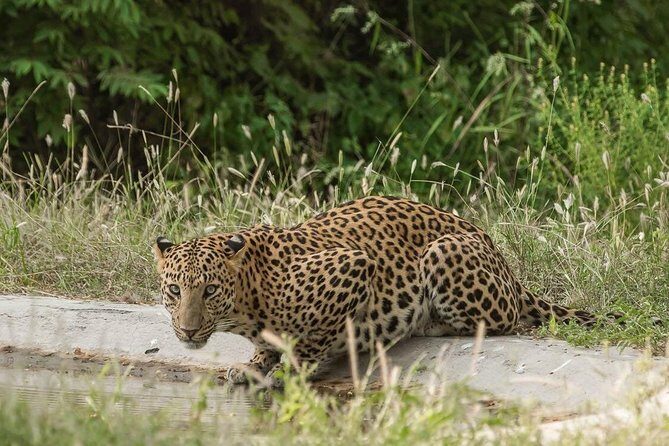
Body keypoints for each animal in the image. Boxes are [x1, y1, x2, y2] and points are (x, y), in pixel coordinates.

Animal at [154, 196, 597, 386]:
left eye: (210, 290)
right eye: (174, 290)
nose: (187, 331)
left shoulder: (353, 265)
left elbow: (314, 340)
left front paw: (293, 368)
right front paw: (256, 364)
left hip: (443, 251)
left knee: (504, 320)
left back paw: (429, 323)